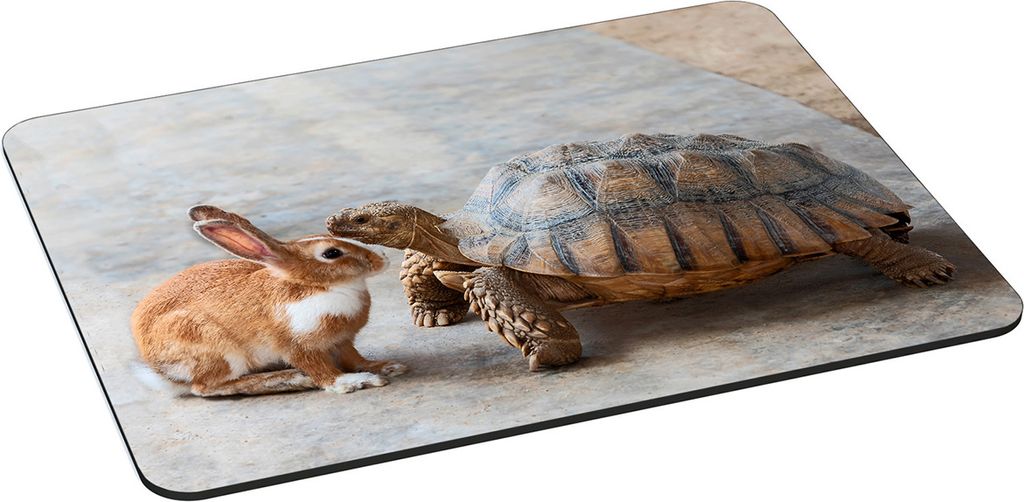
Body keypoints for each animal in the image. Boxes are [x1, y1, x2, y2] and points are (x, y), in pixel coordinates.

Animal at [131, 205, 406, 397]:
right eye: (331, 253)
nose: (382, 258)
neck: (316, 287)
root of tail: (157, 369)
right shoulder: (297, 347)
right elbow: (323, 372)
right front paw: (354, 382)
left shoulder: (342, 342)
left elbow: (355, 358)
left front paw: (386, 366)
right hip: (217, 349)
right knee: (206, 387)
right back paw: (292, 380)